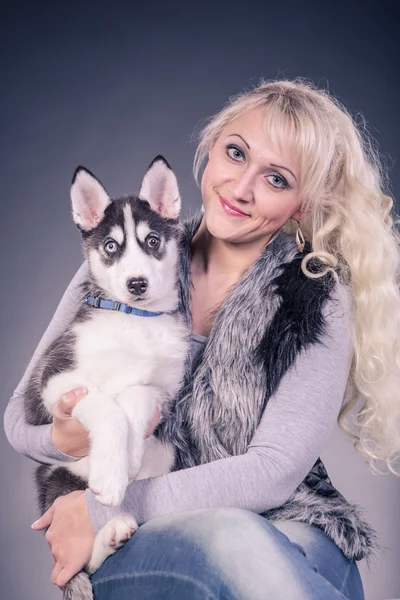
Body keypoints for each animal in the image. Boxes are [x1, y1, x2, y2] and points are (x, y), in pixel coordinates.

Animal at [23, 157, 189, 596]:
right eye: (111, 247)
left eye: (152, 241)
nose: (137, 284)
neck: (134, 319)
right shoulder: (54, 379)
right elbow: (106, 407)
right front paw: (113, 475)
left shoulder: (164, 389)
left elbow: (135, 395)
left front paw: (128, 455)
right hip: (54, 475)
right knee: (84, 563)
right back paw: (111, 530)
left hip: (167, 453)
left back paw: (117, 530)